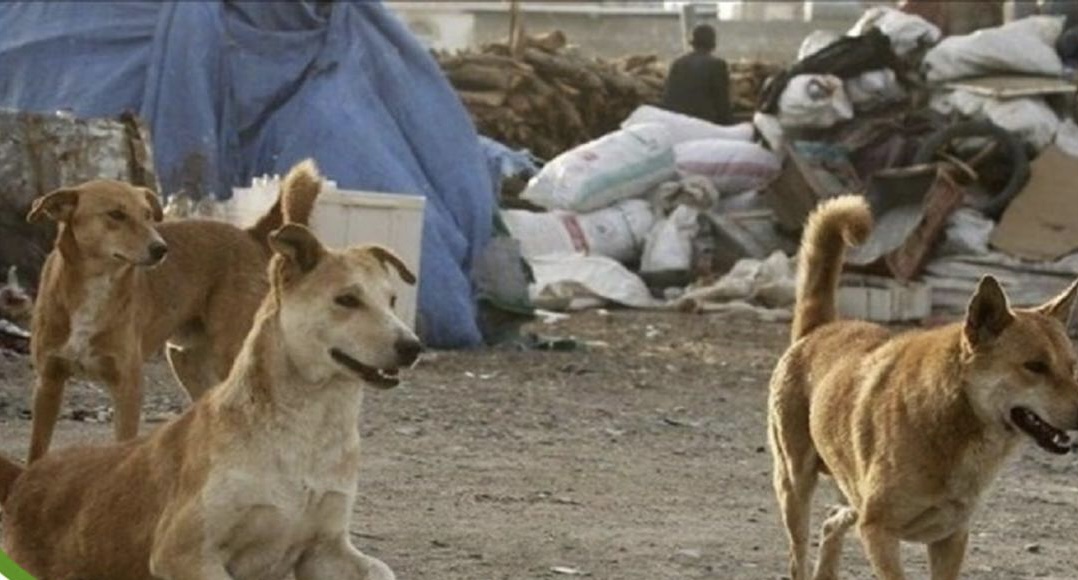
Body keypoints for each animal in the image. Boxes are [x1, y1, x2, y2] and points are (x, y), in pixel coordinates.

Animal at [0, 222, 420, 577]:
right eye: (347, 299)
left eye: (392, 300)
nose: (413, 347)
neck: (307, 431)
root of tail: (24, 478)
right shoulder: (182, 552)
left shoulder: (325, 551)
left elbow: (381, 570)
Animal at [25, 160, 319, 459]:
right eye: (116, 214)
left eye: (147, 215)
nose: (161, 249)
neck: (95, 286)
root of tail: (248, 233)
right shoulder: (48, 383)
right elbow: (36, 450)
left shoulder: (128, 386)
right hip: (185, 361)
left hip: (230, 353)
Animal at [767, 195, 1078, 577]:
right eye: (1035, 367)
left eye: (1072, 366)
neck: (953, 415)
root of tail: (819, 329)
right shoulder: (878, 531)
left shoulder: (950, 538)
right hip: (795, 486)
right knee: (799, 552)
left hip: (850, 493)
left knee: (831, 520)